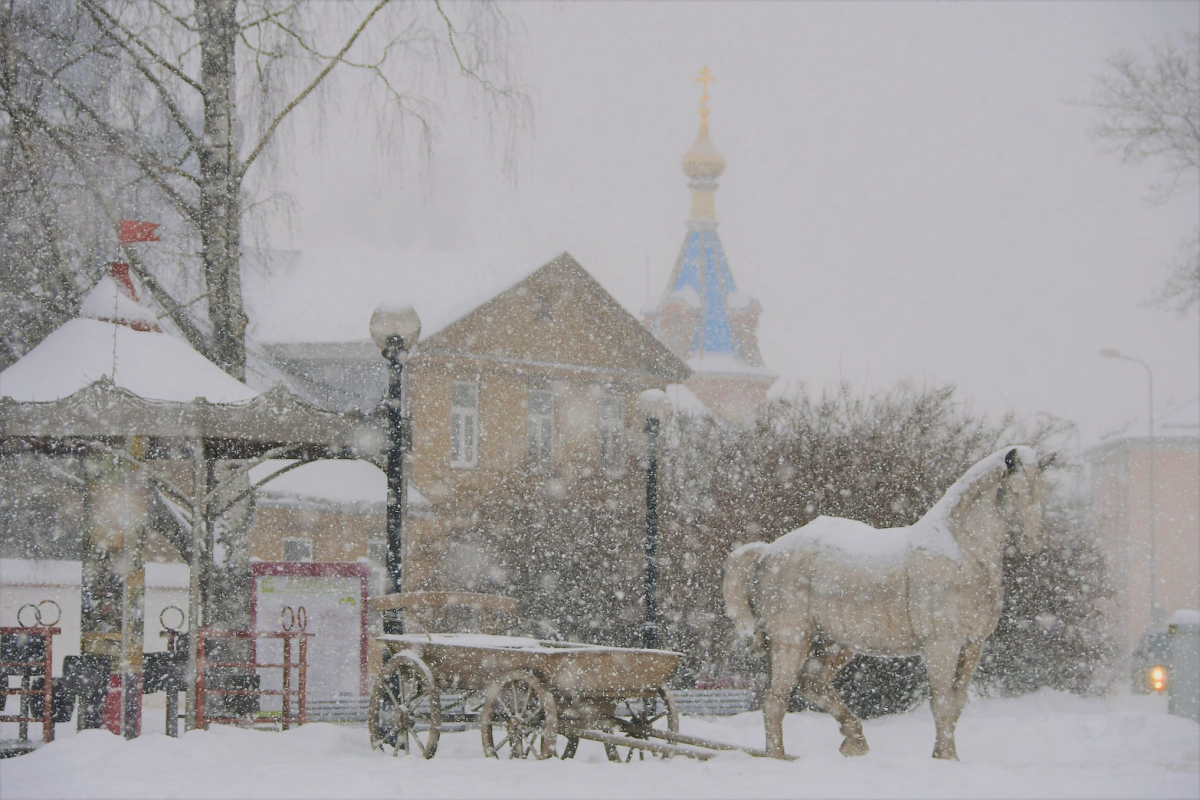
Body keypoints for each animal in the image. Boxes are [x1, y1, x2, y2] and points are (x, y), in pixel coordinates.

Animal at [724, 448, 1046, 762]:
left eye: (1040, 489)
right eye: (1015, 488)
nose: (1031, 543)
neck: (959, 553)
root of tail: (767, 552)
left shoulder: (973, 645)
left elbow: (957, 703)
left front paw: (945, 755)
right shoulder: (941, 644)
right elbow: (942, 703)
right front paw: (945, 759)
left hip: (835, 643)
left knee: (812, 683)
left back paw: (854, 741)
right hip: (791, 640)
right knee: (775, 699)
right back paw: (778, 757)